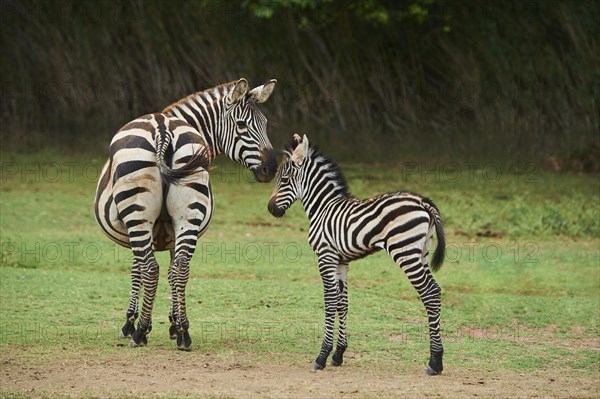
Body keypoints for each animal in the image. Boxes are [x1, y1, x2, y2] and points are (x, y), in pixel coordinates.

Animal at [96, 78, 278, 350]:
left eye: (264, 124)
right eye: (242, 125)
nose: (271, 169)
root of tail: (162, 128)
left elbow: (138, 271)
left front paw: (132, 324)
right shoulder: (170, 232)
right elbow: (172, 271)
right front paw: (174, 324)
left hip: (139, 215)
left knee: (151, 268)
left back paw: (140, 334)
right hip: (187, 214)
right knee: (181, 268)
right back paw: (184, 335)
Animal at [268, 134, 446, 376]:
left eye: (284, 179)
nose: (271, 209)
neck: (323, 208)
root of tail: (422, 201)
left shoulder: (325, 256)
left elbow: (329, 301)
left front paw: (321, 356)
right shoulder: (342, 261)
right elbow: (342, 303)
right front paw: (338, 354)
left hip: (405, 252)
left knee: (428, 293)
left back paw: (434, 362)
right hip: (422, 252)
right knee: (435, 291)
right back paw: (438, 359)